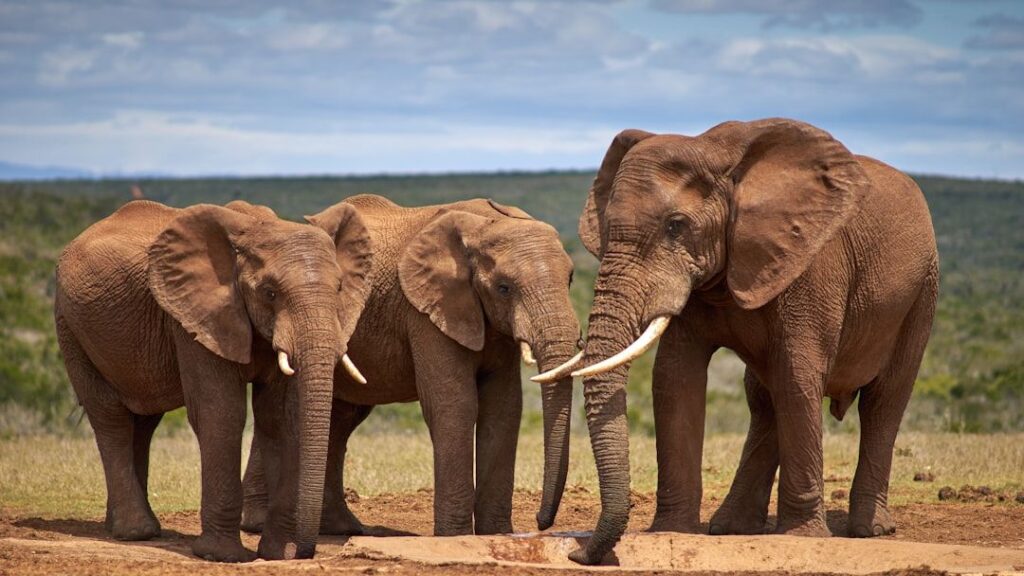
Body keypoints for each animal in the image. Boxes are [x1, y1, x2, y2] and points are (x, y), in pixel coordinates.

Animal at [54, 199, 373, 562]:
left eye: (339, 289)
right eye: (269, 293)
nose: (301, 552)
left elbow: (279, 416)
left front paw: (276, 553)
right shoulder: (195, 317)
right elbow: (222, 412)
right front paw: (222, 556)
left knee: (144, 420)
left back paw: (129, 528)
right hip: (70, 326)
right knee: (110, 417)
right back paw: (135, 532)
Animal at [241, 194, 582, 538]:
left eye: (570, 279)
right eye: (504, 288)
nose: (540, 522)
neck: (486, 225)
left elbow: (504, 409)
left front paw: (496, 535)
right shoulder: (426, 312)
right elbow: (455, 405)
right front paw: (456, 537)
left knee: (341, 418)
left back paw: (341, 528)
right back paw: (261, 524)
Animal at [546, 118, 939, 564]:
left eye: (676, 226)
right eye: (608, 226)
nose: (577, 554)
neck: (720, 158)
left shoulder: (810, 265)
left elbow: (798, 377)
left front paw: (803, 537)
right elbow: (674, 379)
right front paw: (673, 530)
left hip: (921, 293)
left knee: (882, 402)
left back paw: (870, 530)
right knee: (765, 398)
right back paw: (731, 527)